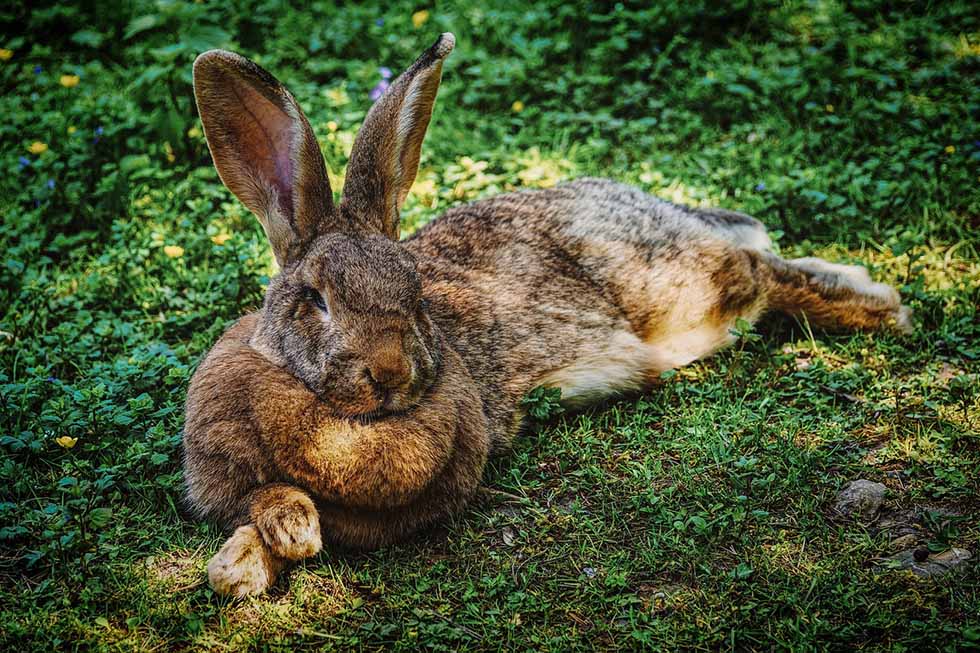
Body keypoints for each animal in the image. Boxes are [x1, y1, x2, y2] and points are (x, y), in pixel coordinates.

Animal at [184, 34, 912, 596]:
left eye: (416, 294)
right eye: (315, 299)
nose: (390, 374)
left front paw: (263, 552)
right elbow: (259, 511)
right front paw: (249, 560)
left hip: (675, 284)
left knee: (760, 271)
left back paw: (880, 307)